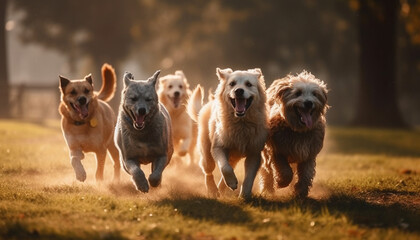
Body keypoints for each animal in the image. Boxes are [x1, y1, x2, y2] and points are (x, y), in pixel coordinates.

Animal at [188, 67, 268, 199]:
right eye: (232, 84)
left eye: (248, 84)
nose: (239, 91)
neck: (241, 123)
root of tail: (206, 106)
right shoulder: (218, 147)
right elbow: (225, 167)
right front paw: (231, 182)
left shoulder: (254, 153)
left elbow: (249, 177)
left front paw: (244, 195)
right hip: (207, 152)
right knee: (208, 171)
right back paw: (213, 190)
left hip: (233, 156)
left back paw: (222, 188)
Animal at [260, 70, 330, 198]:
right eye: (297, 93)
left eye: (315, 94)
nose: (309, 103)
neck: (298, 131)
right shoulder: (277, 150)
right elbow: (285, 171)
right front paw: (281, 182)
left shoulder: (309, 154)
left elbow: (306, 174)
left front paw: (301, 191)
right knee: (266, 171)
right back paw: (268, 190)